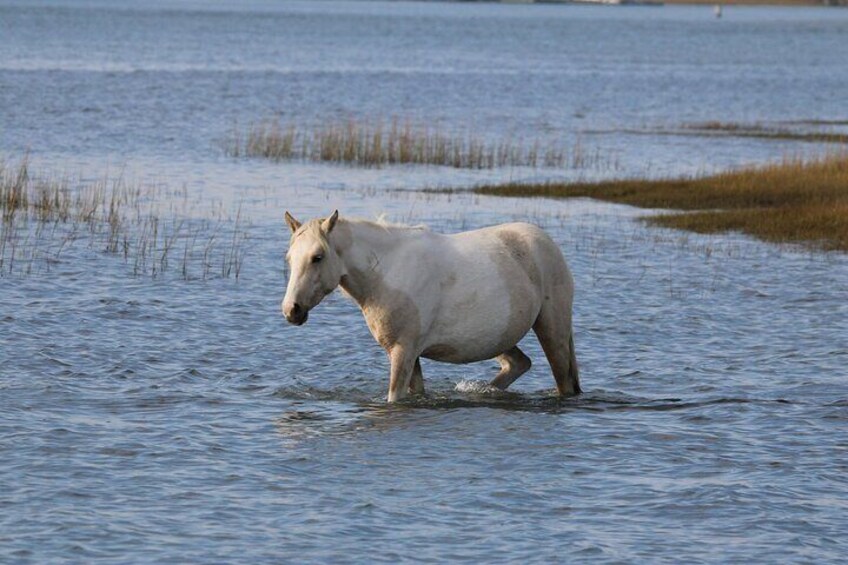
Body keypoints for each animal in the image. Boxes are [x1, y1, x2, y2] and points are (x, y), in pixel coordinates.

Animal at [282, 210, 580, 400]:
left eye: (317, 257)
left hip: (552, 330)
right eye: (289, 258)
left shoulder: (403, 351)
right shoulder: (408, 354)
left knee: (563, 381)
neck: (387, 273)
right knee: (519, 364)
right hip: (499, 339)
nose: (291, 310)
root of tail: (548, 244)